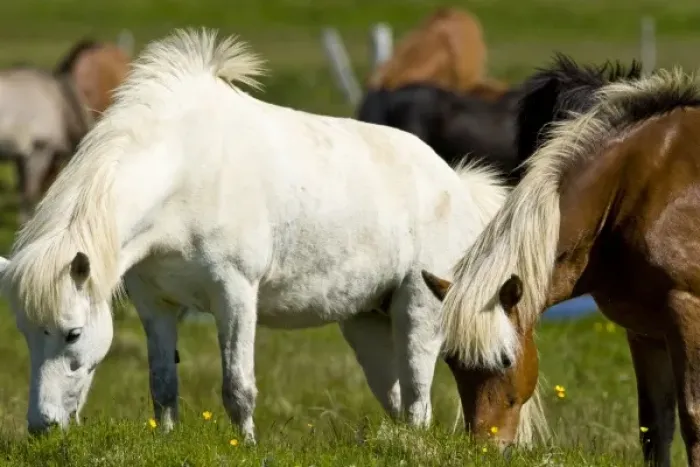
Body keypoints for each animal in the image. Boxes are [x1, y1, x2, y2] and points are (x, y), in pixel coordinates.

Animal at [420, 67, 700, 466]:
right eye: (451, 361)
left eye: (505, 359)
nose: (485, 449)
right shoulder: (645, 331)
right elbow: (655, 428)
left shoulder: (686, 315)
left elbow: (692, 418)